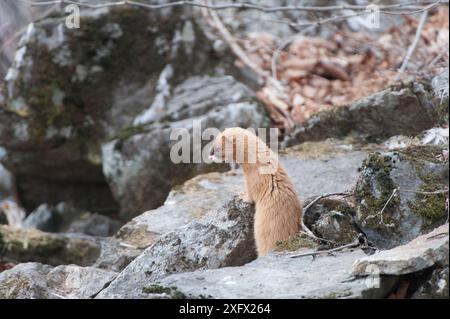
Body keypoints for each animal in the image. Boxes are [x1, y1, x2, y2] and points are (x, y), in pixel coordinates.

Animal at [210, 127, 302, 258]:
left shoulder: (253, 179)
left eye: (216, 148)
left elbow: (251, 194)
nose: (209, 154)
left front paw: (241, 195)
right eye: (211, 145)